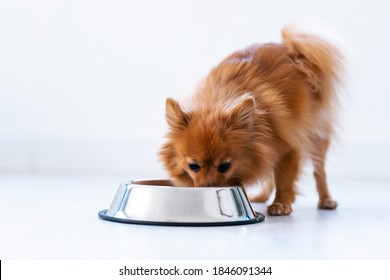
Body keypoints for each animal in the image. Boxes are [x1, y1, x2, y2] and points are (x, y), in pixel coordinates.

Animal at [158, 24, 342, 217]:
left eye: (224, 166)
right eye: (193, 166)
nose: (208, 188)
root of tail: (290, 49)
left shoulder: (290, 146)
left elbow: (284, 180)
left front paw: (281, 204)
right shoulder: (270, 147)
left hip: (317, 136)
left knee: (319, 171)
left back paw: (326, 200)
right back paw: (262, 196)